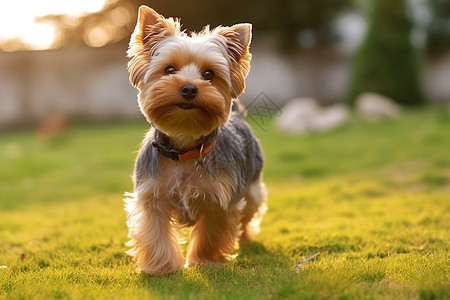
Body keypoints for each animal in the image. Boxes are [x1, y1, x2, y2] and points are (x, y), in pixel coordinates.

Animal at [124, 5, 268, 276]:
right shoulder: (152, 195)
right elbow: (156, 232)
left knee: (249, 212)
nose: (189, 88)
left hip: (252, 184)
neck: (184, 147)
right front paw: (161, 268)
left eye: (209, 74)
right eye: (169, 69)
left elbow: (210, 233)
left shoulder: (220, 199)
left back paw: (245, 238)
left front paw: (203, 261)